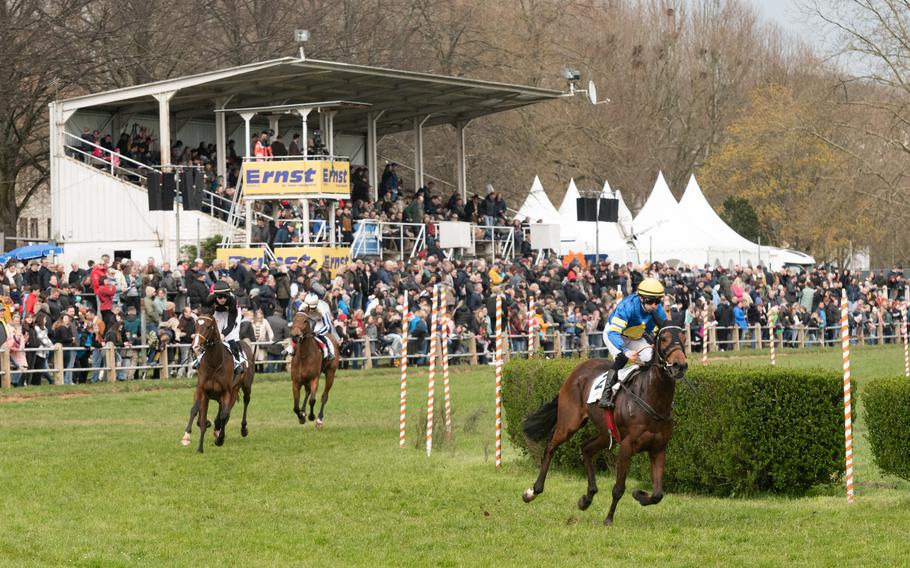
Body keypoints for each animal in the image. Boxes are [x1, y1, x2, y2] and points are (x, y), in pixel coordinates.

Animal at [181, 316, 255, 452]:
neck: (214, 363)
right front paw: (187, 436)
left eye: (209, 327)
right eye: (195, 326)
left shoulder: (226, 392)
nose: (195, 346)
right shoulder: (201, 389)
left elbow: (224, 415)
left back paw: (242, 429)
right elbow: (195, 410)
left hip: (245, 386)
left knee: (245, 401)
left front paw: (219, 438)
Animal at [524, 326, 688, 524]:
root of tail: (577, 369)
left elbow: (657, 494)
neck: (653, 400)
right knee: (550, 446)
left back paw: (587, 498)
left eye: (683, 338)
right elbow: (618, 488)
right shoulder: (626, 447)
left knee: (586, 448)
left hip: (605, 433)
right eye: (663, 339)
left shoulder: (658, 448)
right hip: (569, 423)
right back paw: (533, 491)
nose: (680, 365)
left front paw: (639, 495)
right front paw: (609, 519)